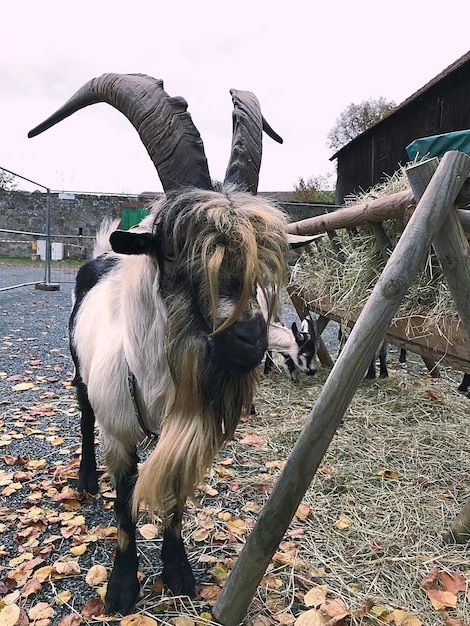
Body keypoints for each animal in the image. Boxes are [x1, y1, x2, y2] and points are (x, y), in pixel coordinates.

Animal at [28, 74, 290, 616]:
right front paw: (122, 589)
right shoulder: (120, 436)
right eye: (171, 250)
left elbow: (175, 501)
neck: (150, 381)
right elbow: (126, 506)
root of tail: (104, 254)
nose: (250, 339)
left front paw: (178, 572)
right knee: (83, 417)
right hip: (82, 378)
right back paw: (86, 480)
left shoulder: (188, 433)